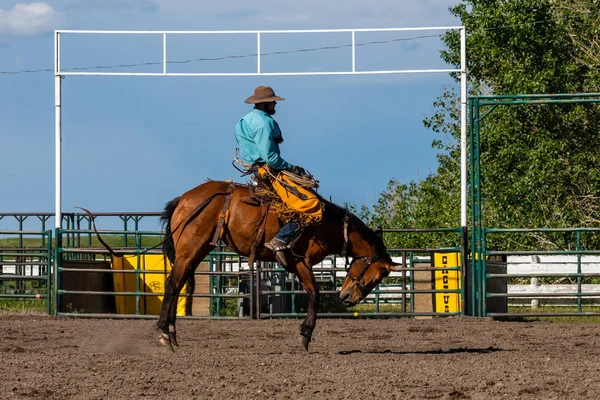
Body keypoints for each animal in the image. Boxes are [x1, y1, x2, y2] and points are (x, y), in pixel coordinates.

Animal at [159, 180, 400, 352]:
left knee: (179, 284)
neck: (326, 225)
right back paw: (164, 334)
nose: (348, 298)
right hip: (188, 251)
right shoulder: (301, 262)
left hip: (197, 251)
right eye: (376, 277)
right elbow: (315, 294)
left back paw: (171, 333)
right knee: (172, 284)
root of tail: (183, 199)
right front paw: (305, 335)